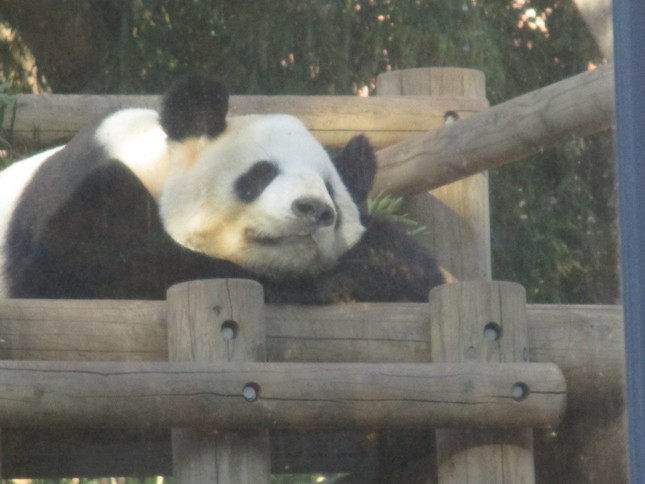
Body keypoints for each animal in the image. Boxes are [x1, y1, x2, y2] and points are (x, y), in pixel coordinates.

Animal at [0, 74, 442, 302]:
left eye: (331, 190)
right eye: (261, 174)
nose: (314, 209)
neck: (153, 161)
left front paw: (378, 265)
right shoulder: (90, 206)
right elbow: (99, 268)